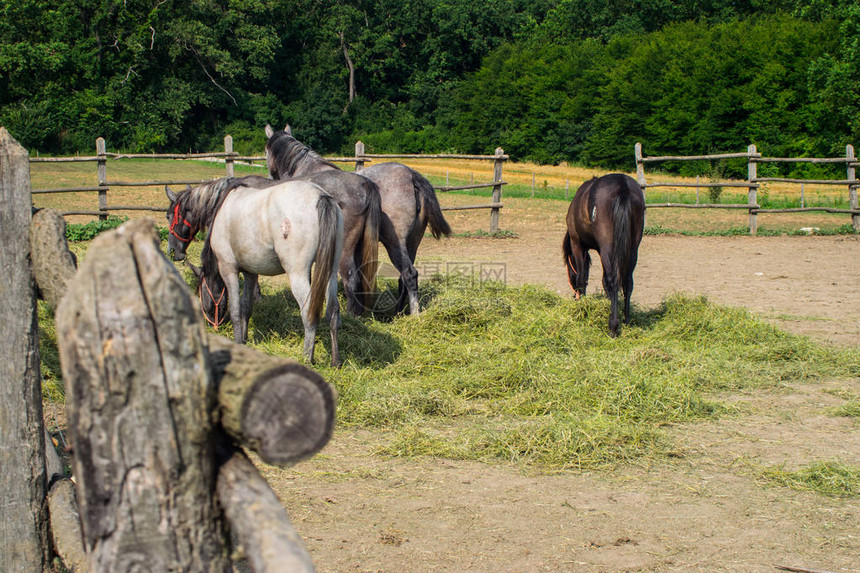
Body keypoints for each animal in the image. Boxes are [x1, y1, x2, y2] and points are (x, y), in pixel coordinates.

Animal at [264, 125, 382, 316]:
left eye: (265, 151)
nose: (270, 177)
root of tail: (365, 184)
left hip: (345, 250)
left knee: (351, 278)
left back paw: (351, 315)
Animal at [358, 162, 454, 312]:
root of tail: (411, 176)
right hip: (412, 243)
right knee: (404, 277)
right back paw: (399, 311)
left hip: (394, 244)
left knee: (409, 274)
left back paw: (414, 313)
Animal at [564, 173, 644, 336]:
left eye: (569, 269)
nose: (574, 296)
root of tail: (622, 184)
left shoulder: (577, 244)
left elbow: (582, 278)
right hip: (632, 248)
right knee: (627, 282)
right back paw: (626, 321)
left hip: (608, 246)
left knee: (613, 280)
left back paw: (613, 326)